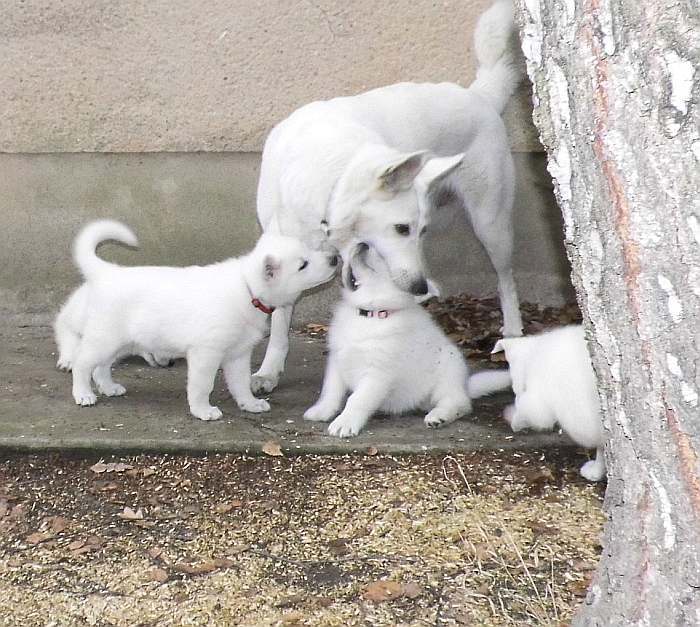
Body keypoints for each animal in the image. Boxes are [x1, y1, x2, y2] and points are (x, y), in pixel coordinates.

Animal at [58, 221, 338, 422]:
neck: (247, 287)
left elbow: (240, 384)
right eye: (303, 265)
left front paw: (249, 404)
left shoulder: (238, 355)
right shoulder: (206, 353)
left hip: (119, 343)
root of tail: (106, 272)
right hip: (105, 339)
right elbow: (202, 385)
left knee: (101, 367)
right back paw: (83, 394)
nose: (335, 259)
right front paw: (203, 411)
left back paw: (109, 387)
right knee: (83, 364)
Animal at [254, 0, 524, 392]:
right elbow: (279, 315)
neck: (335, 176)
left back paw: (512, 336)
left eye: (417, 230)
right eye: (402, 228)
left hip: (491, 224)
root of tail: (479, 94)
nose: (419, 286)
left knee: (506, 281)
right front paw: (269, 370)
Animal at [304, 243, 512, 440]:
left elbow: (357, 399)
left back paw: (439, 416)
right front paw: (321, 411)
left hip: (447, 373)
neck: (370, 314)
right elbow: (330, 391)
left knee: (459, 402)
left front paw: (345, 422)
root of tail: (465, 385)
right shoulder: (337, 360)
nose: (363, 243)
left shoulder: (378, 373)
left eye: (384, 256)